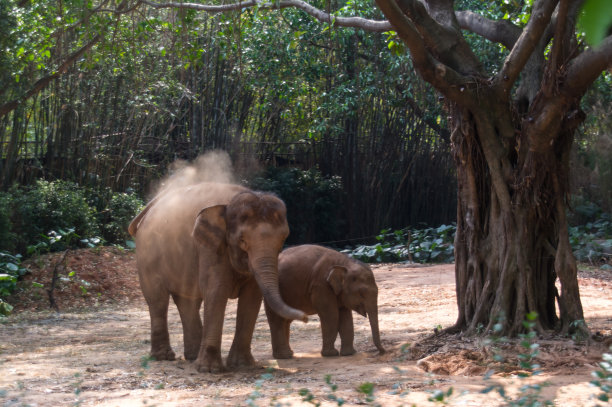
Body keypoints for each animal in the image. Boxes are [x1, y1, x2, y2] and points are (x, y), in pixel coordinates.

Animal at [130, 183, 310, 374]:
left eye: (283, 239)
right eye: (242, 240)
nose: (306, 318)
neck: (229, 203)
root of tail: (148, 210)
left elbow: (252, 296)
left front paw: (243, 365)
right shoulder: (210, 245)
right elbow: (216, 289)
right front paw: (209, 370)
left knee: (188, 302)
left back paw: (192, 356)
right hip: (147, 255)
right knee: (158, 300)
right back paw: (164, 357)